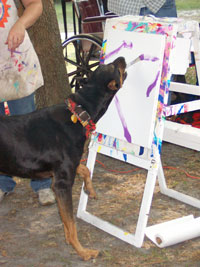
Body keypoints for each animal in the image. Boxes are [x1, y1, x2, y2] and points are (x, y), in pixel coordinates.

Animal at [0, 57, 126, 262]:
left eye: (105, 65)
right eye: (115, 67)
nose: (121, 58)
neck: (80, 112)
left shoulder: (65, 169)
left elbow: (85, 170)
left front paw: (90, 190)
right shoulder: (62, 183)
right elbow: (71, 222)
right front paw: (82, 251)